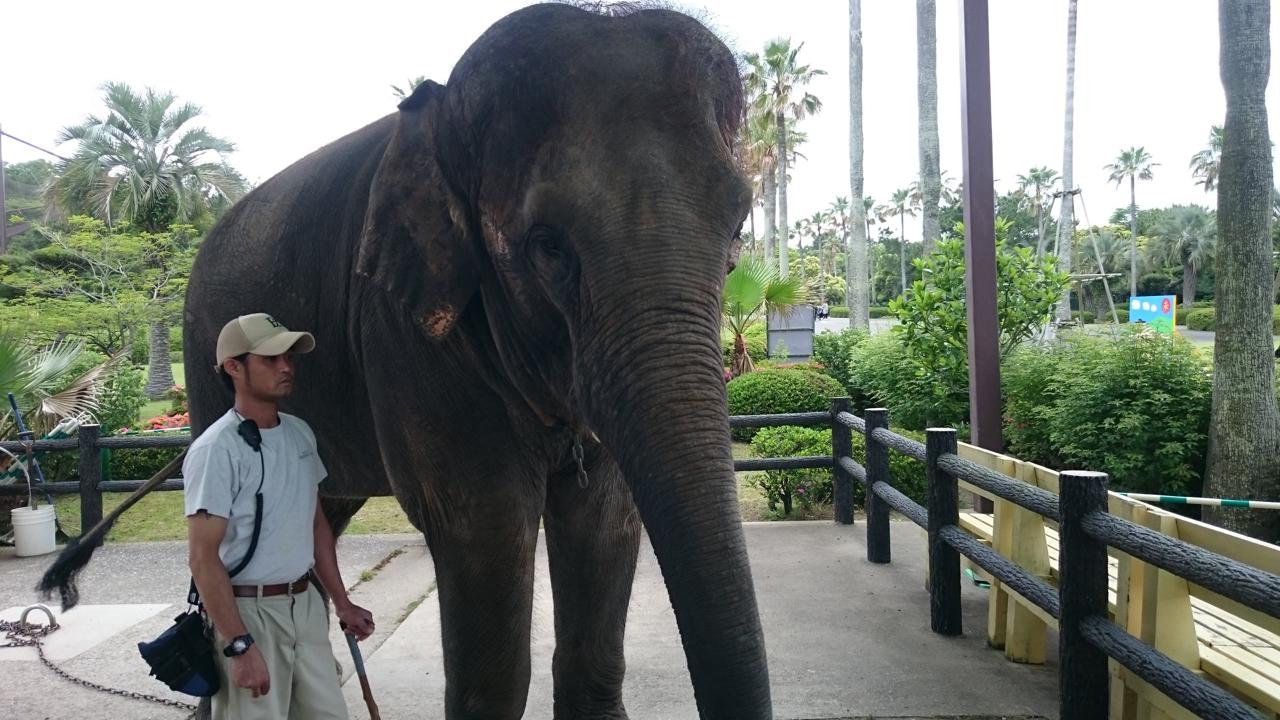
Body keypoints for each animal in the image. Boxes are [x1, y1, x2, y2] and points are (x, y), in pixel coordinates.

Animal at [176, 5, 762, 717]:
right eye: (547, 247)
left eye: (738, 227)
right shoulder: (401, 330)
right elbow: (486, 527)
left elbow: (605, 517)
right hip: (206, 360)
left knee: (323, 514)